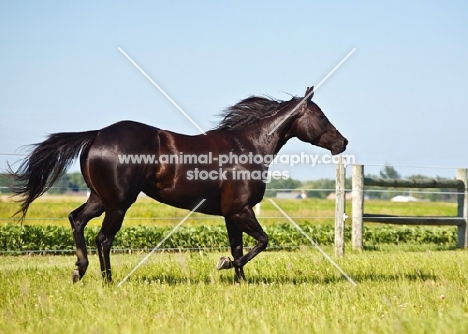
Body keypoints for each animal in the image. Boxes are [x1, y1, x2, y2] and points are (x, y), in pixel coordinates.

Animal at [9, 86, 348, 282]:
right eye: (320, 115)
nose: (342, 142)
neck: (248, 146)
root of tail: (97, 134)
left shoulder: (231, 214)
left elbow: (240, 247)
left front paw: (239, 280)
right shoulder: (241, 210)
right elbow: (261, 242)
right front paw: (224, 265)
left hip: (100, 198)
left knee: (76, 220)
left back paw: (79, 270)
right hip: (118, 204)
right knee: (103, 239)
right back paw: (107, 281)